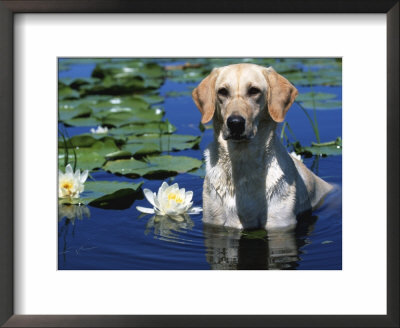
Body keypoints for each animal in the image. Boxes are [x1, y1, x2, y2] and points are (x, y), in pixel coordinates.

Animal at [192, 62, 332, 229]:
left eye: (254, 90)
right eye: (222, 91)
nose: (235, 123)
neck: (242, 160)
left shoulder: (280, 223)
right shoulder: (213, 219)